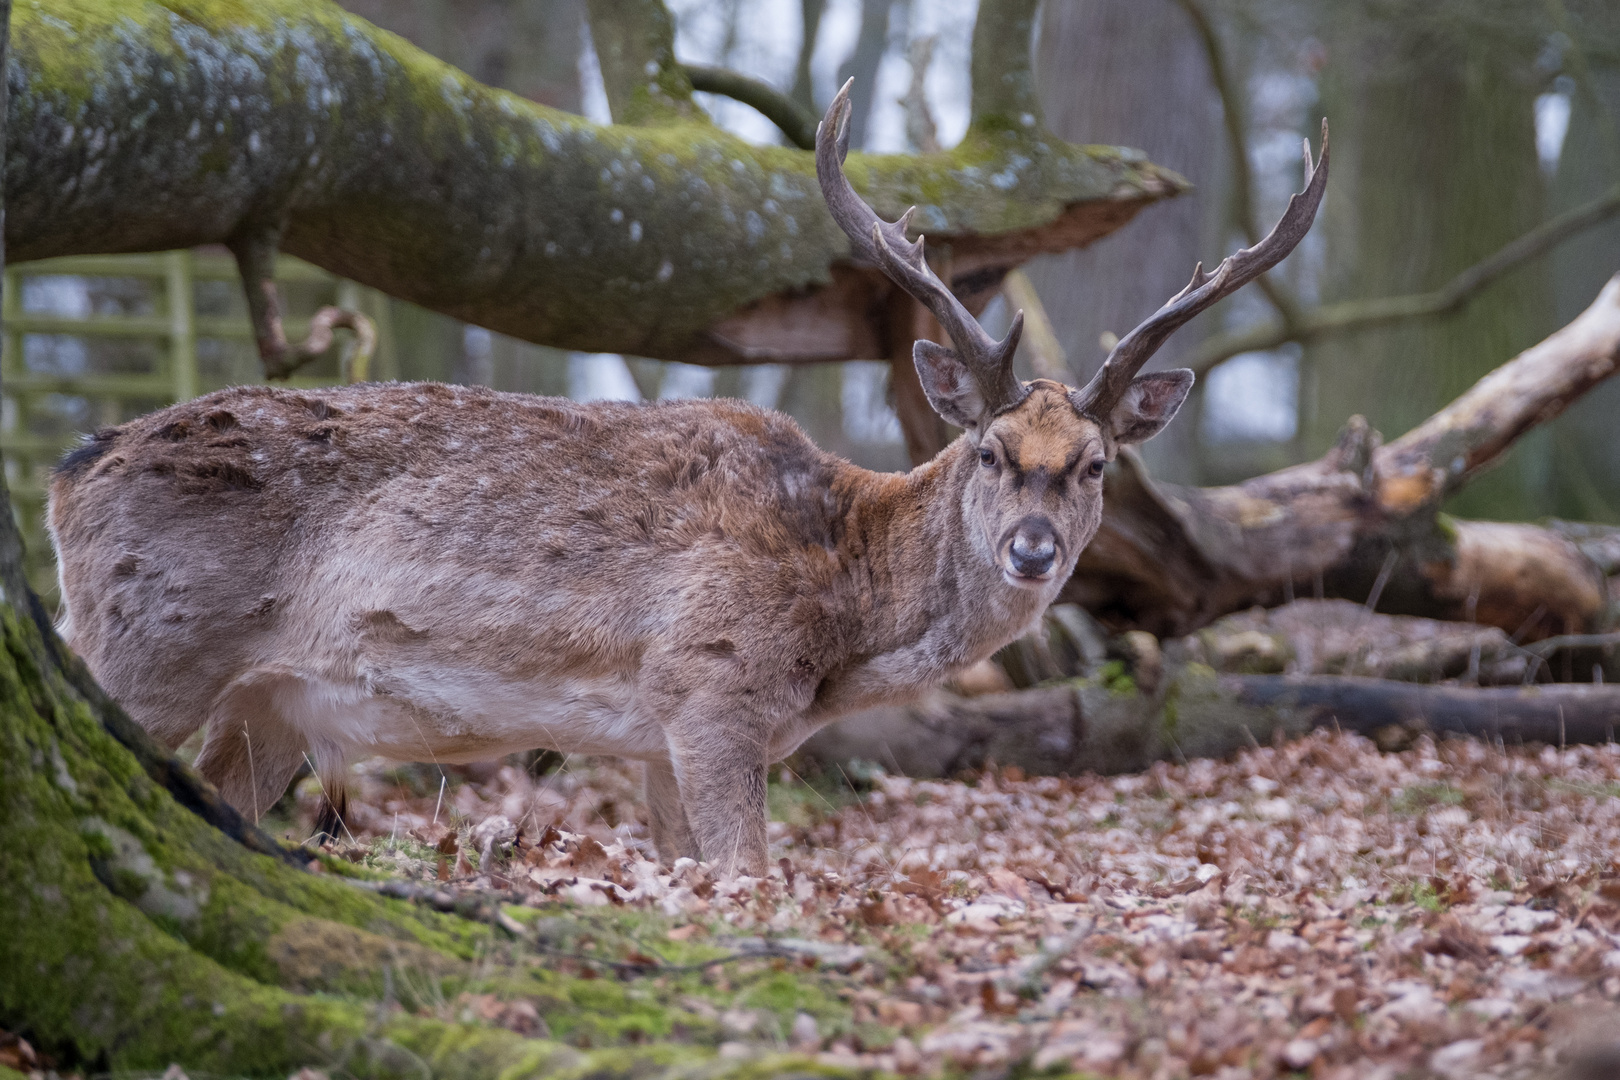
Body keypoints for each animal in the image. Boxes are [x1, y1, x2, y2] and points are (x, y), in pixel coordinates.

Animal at [47, 84, 1328, 880]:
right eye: (989, 452)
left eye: (1098, 464)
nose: (1032, 550)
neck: (837, 613)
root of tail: (70, 472)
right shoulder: (711, 683)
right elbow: (751, 877)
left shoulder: (657, 734)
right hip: (146, 637)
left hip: (269, 703)